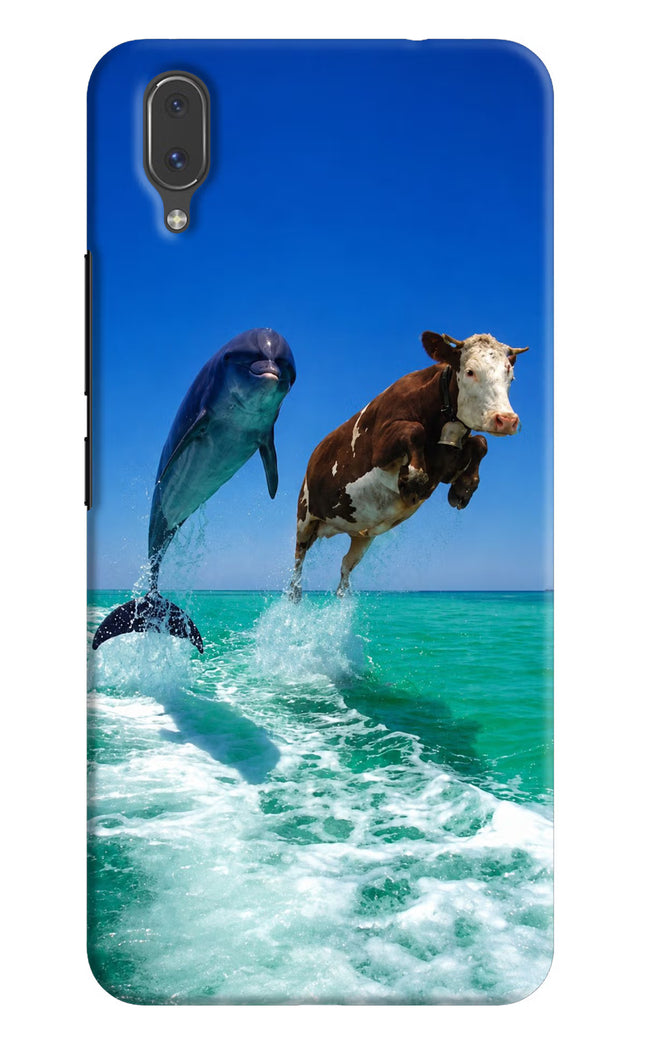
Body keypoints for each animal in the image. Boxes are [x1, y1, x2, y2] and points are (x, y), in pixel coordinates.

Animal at [289, 330, 528, 600]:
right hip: (304, 517)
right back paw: (295, 594)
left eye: (510, 375)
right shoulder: (380, 447)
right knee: (298, 561)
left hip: (361, 535)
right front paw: (413, 479)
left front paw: (463, 488)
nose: (506, 420)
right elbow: (415, 430)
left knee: (345, 566)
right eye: (470, 371)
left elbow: (480, 442)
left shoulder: (446, 465)